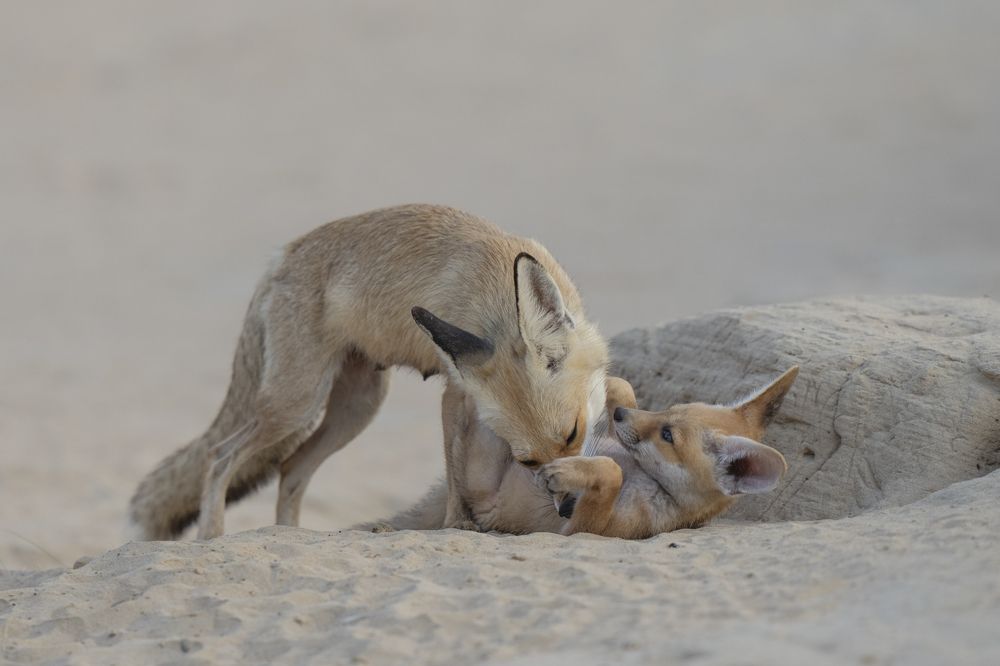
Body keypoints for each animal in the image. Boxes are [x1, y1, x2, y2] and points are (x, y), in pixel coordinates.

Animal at [129, 204, 609, 540]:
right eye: (527, 461)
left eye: (572, 434)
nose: (568, 509)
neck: (493, 294)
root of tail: (282, 256)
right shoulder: (455, 391)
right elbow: (454, 471)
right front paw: (458, 524)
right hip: (296, 406)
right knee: (219, 454)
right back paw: (211, 536)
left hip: (357, 408)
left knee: (291, 470)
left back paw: (287, 534)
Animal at [374, 367, 797, 538]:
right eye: (669, 410)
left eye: (667, 435)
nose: (621, 417)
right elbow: (622, 385)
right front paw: (614, 402)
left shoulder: (582, 531)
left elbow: (608, 471)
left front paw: (565, 475)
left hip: (481, 464)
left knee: (458, 394)